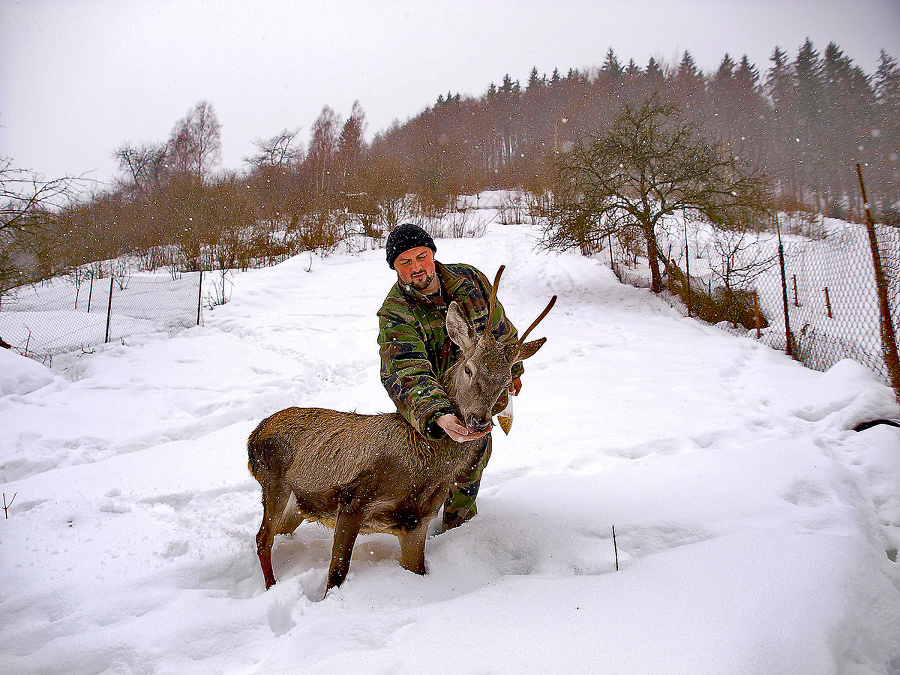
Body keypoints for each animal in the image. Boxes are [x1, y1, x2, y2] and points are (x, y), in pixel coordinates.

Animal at [248, 266, 556, 596]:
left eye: (506, 382)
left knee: (273, 534)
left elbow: (418, 570)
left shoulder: (416, 523)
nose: (478, 421)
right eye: (469, 368)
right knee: (262, 538)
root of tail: (253, 436)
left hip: (298, 504)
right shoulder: (353, 500)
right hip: (275, 483)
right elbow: (337, 574)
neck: (420, 470)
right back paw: (270, 586)